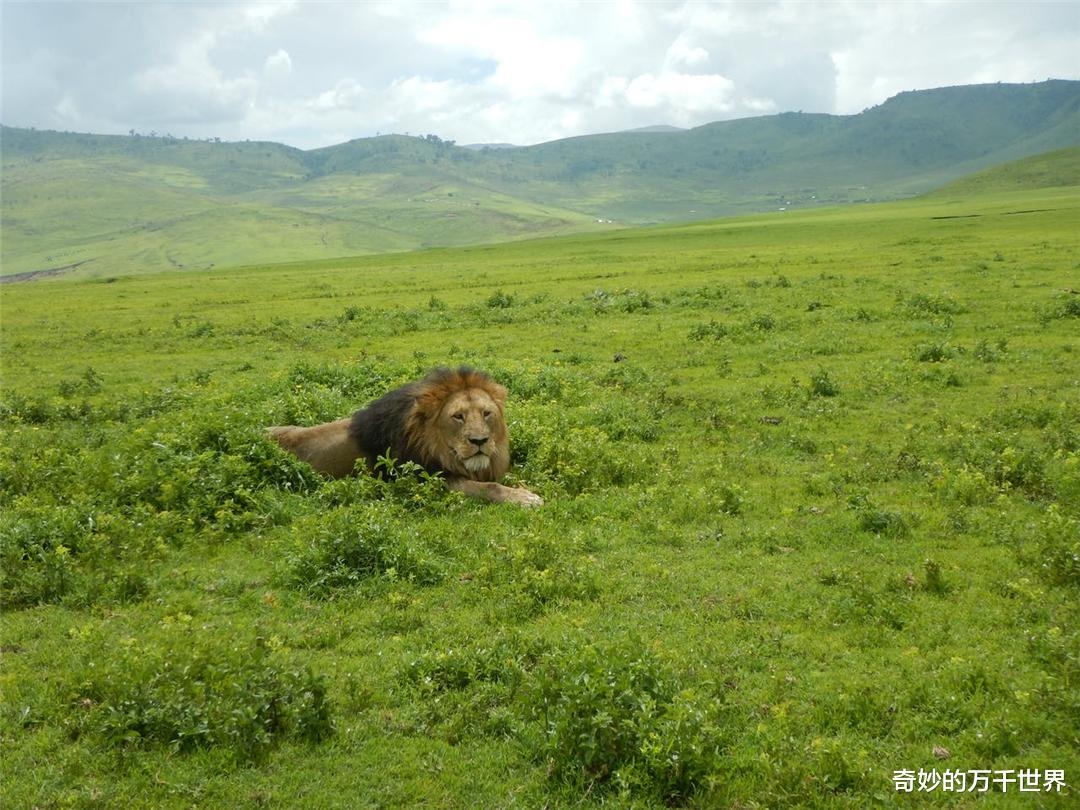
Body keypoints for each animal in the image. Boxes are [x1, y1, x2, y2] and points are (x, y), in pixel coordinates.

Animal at [266, 367, 544, 507]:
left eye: (486, 413)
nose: (479, 441)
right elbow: (489, 486)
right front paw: (525, 498)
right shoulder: (429, 478)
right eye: (458, 416)